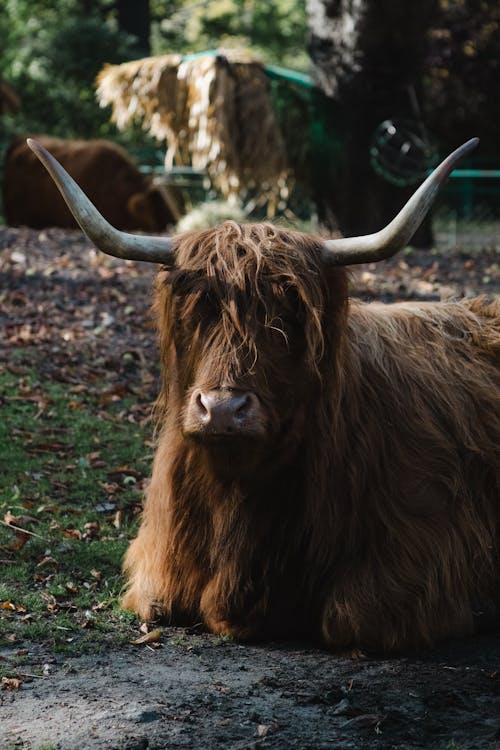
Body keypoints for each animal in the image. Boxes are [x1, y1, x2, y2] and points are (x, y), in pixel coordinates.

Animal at [28, 138, 500, 656]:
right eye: (198, 310)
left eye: (287, 316)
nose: (221, 409)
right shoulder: (158, 571)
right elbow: (157, 603)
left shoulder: (421, 562)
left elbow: (349, 618)